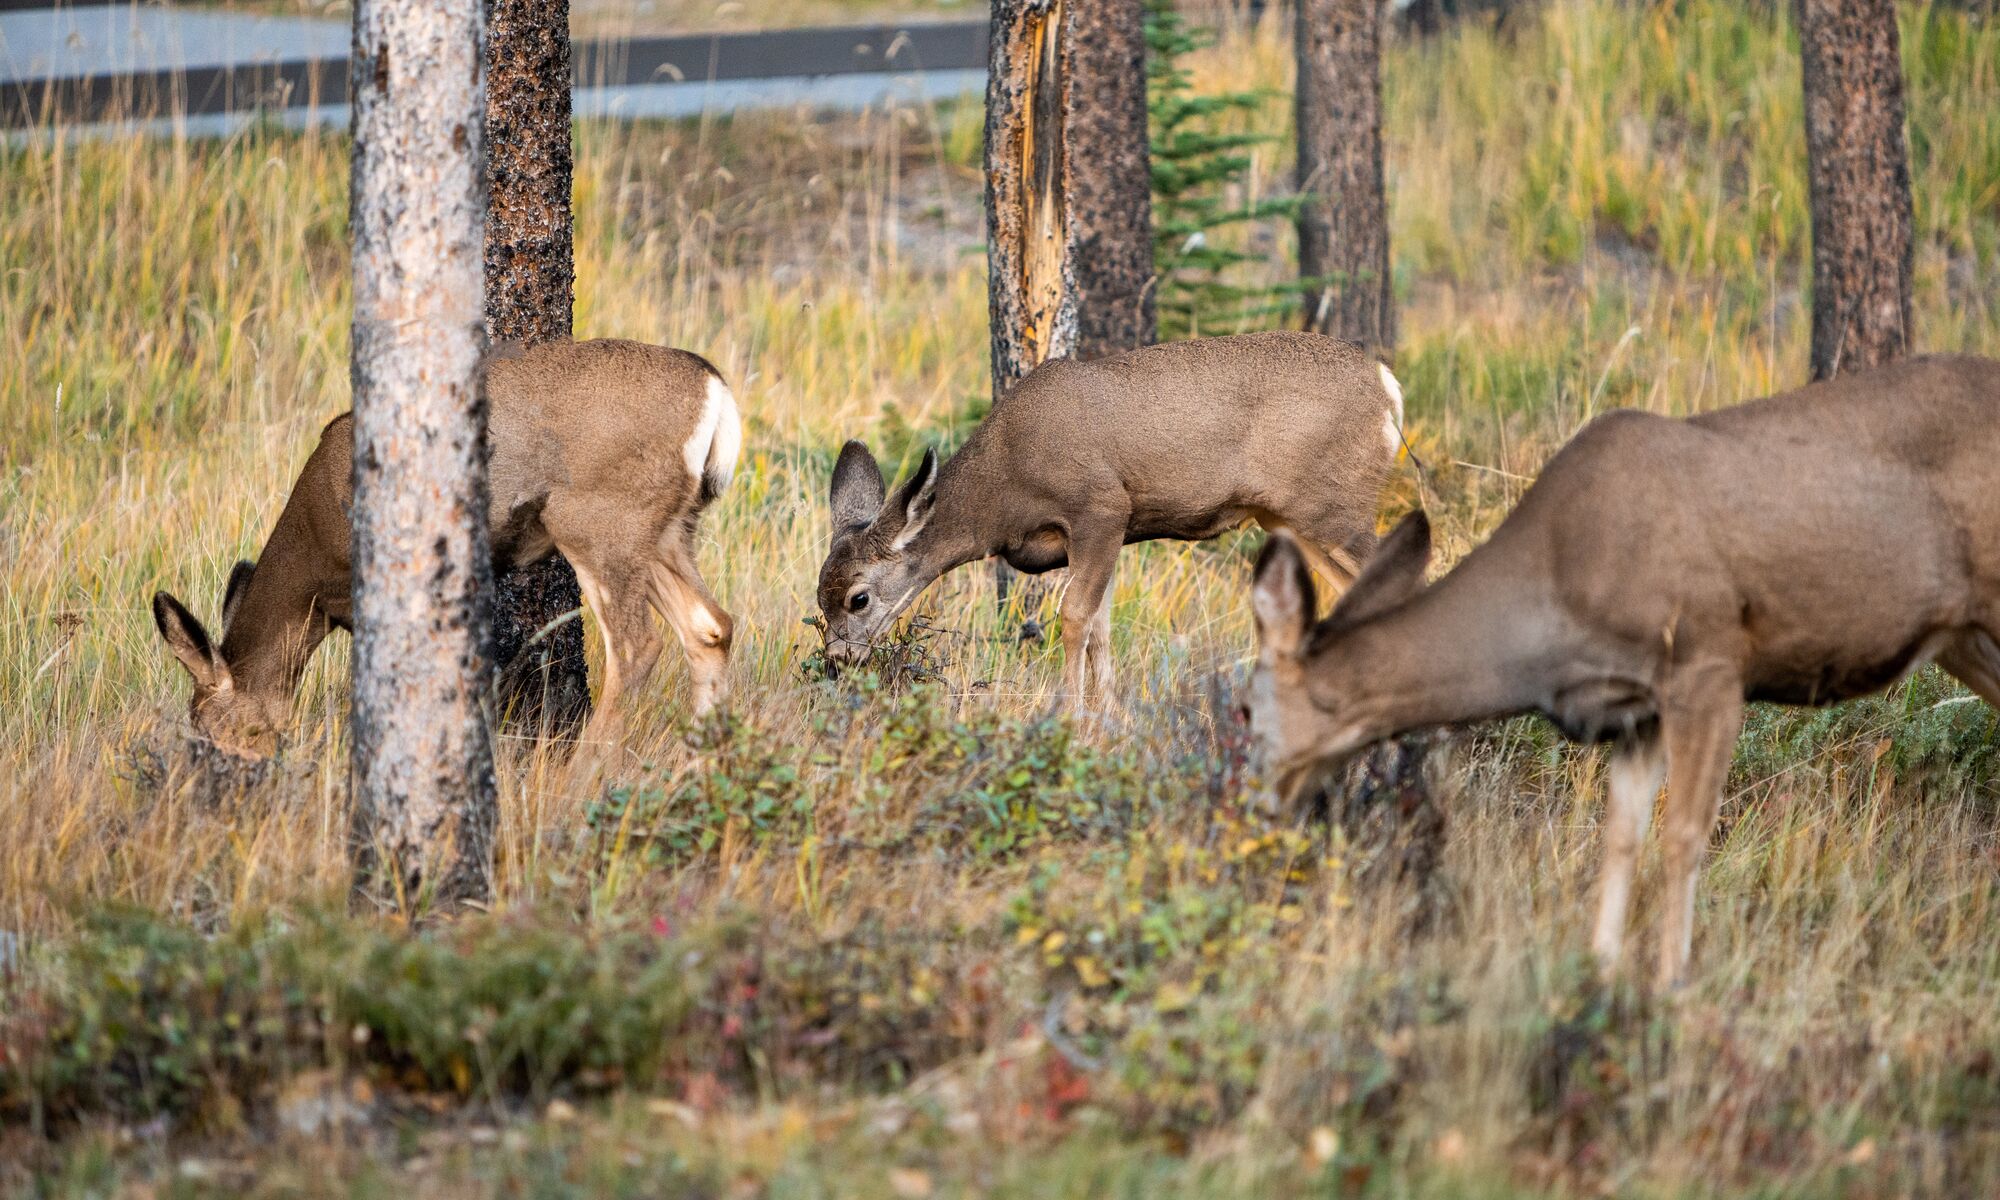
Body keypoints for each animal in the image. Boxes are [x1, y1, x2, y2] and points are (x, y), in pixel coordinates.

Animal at [151, 338, 742, 760]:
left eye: (207, 728)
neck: (313, 567)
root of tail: (715, 390)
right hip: (666, 530)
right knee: (711, 625)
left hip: (599, 522)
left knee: (638, 647)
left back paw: (579, 783)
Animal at [815, 330, 1408, 709]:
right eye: (820, 599)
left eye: (858, 598)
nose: (838, 662)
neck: (1005, 491)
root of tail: (1388, 387)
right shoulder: (1099, 538)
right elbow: (1100, 625)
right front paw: (1108, 718)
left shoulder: (1100, 508)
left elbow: (1074, 617)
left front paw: (1071, 717)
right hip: (1291, 519)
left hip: (1336, 507)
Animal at [1245, 353, 2000, 989]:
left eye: (1246, 709)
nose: (1246, 805)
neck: (1556, 598)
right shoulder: (1637, 709)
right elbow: (1619, 837)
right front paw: (1600, 974)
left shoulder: (1708, 664)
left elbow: (1684, 837)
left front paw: (1670, 988)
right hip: (1965, 636)